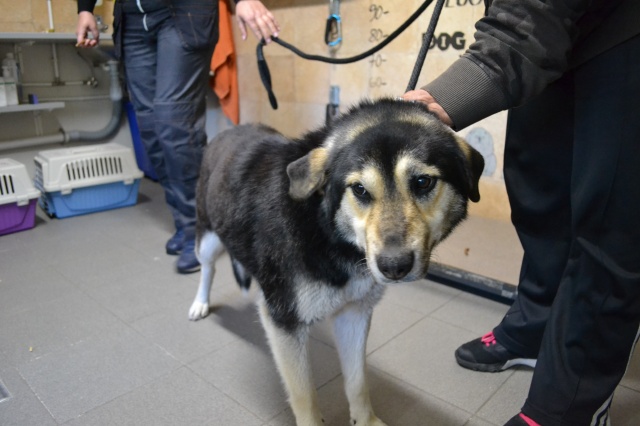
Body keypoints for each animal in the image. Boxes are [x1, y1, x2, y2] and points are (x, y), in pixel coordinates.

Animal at [188, 98, 484, 426]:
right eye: (359, 190)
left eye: (422, 182)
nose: (393, 267)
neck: (328, 233)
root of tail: (227, 131)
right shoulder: (285, 322)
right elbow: (305, 397)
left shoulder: (354, 313)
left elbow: (357, 382)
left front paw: (366, 421)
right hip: (208, 237)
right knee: (208, 268)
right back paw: (200, 304)